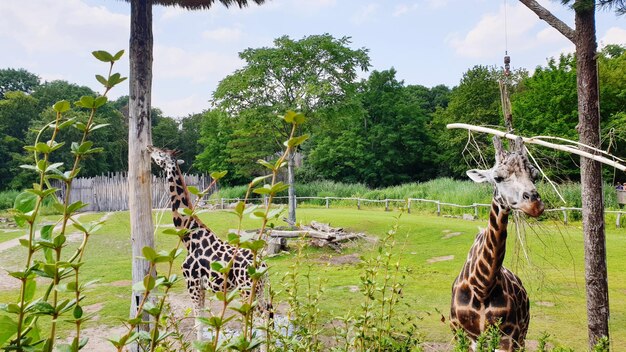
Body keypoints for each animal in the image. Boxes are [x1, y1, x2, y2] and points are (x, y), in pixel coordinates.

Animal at [149, 145, 272, 338]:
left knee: (261, 319)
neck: (189, 238)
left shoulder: (192, 283)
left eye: (160, 154)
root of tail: (264, 267)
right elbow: (202, 321)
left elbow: (198, 323)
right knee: (266, 317)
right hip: (258, 291)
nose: (149, 148)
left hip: (247, 290)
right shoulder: (202, 287)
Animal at [448, 136, 540, 350]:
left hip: (522, 334)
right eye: (497, 177)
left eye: (535, 176)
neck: (482, 286)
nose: (534, 204)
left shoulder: (508, 336)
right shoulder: (462, 335)